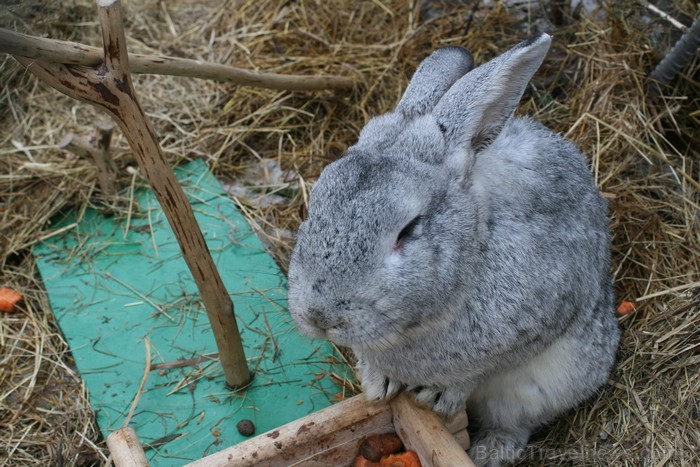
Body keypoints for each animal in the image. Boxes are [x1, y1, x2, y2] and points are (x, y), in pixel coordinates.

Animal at [288, 34, 620, 466]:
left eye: (409, 229)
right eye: (316, 203)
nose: (319, 316)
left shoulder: (539, 320)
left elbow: (479, 371)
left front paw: (438, 394)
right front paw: (379, 384)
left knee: (516, 422)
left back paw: (491, 450)